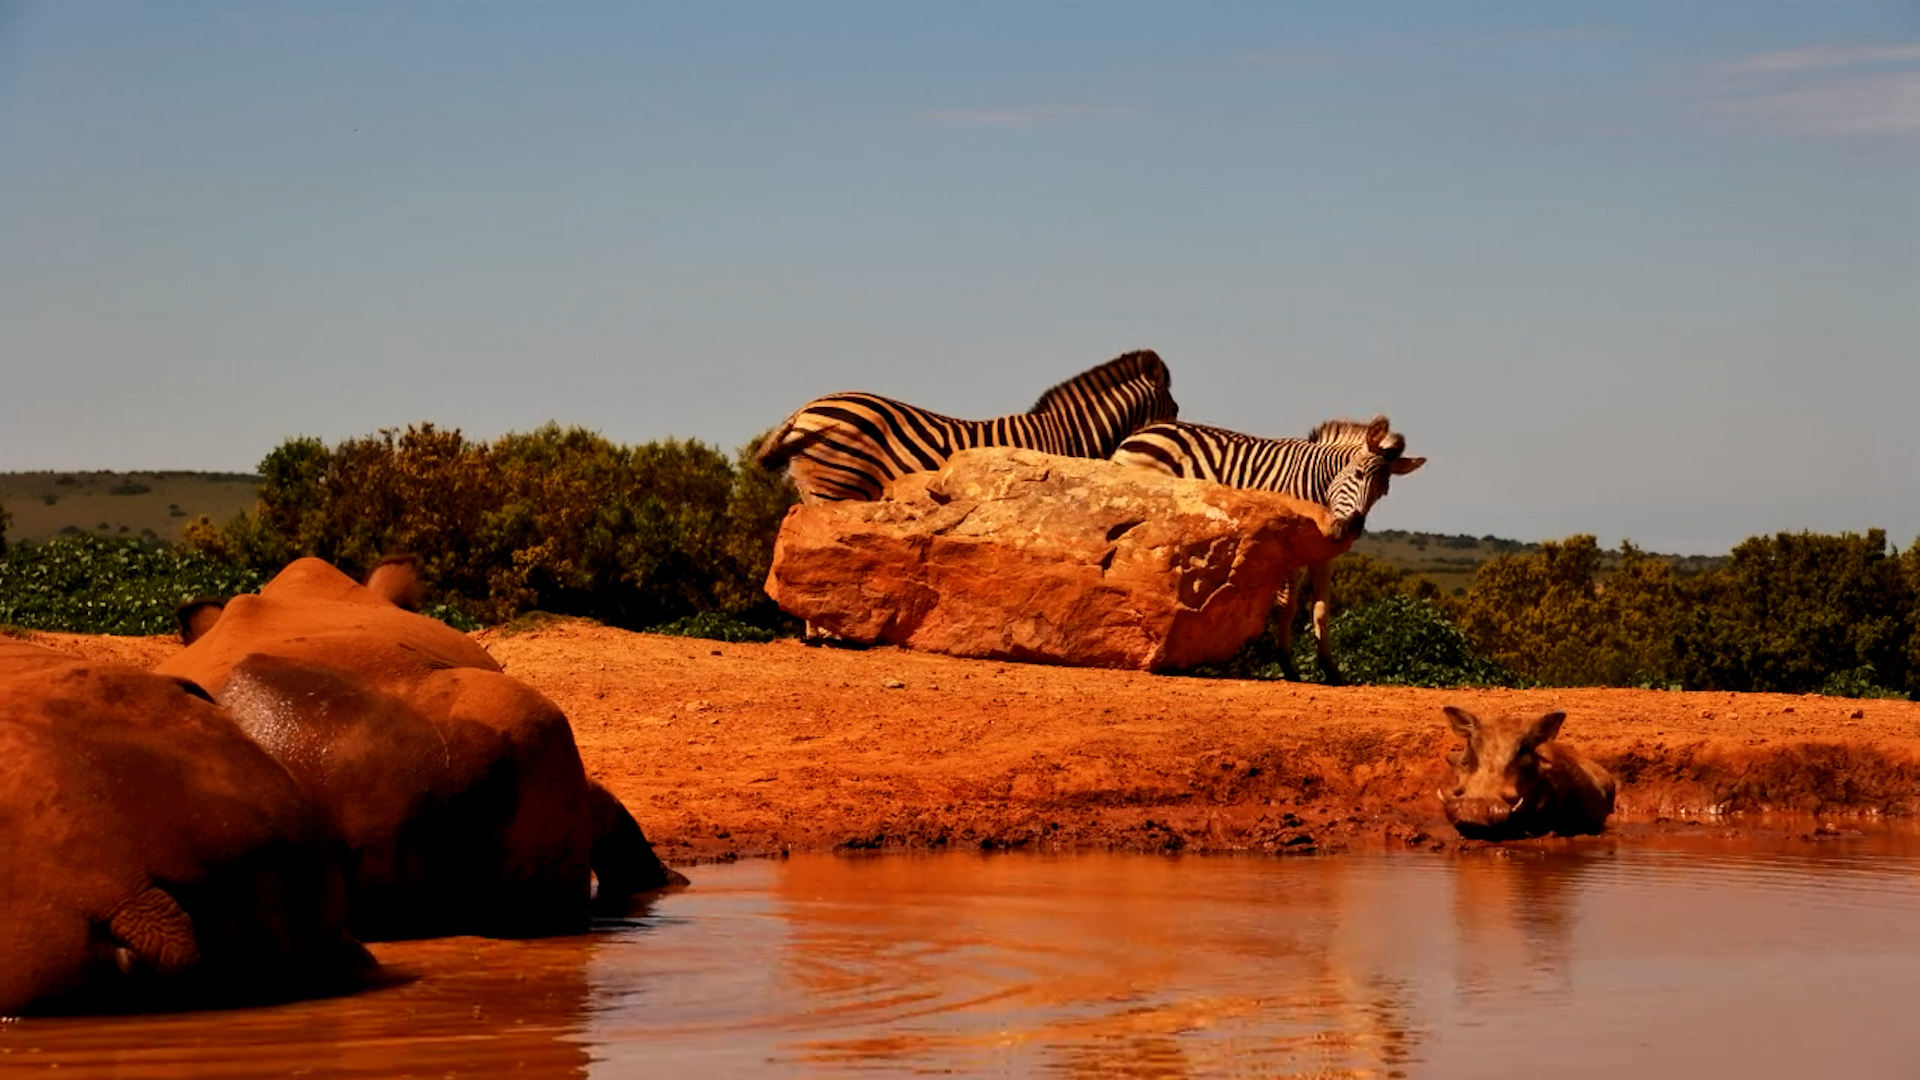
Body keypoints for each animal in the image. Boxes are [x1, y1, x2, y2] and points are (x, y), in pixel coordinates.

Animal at [1110, 415, 1425, 684]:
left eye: (1383, 492)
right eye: (1358, 474)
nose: (1348, 532)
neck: (1318, 487)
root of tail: (1141, 432)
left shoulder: (1324, 556)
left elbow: (1321, 610)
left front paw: (1331, 670)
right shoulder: (1289, 548)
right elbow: (1288, 607)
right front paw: (1288, 666)